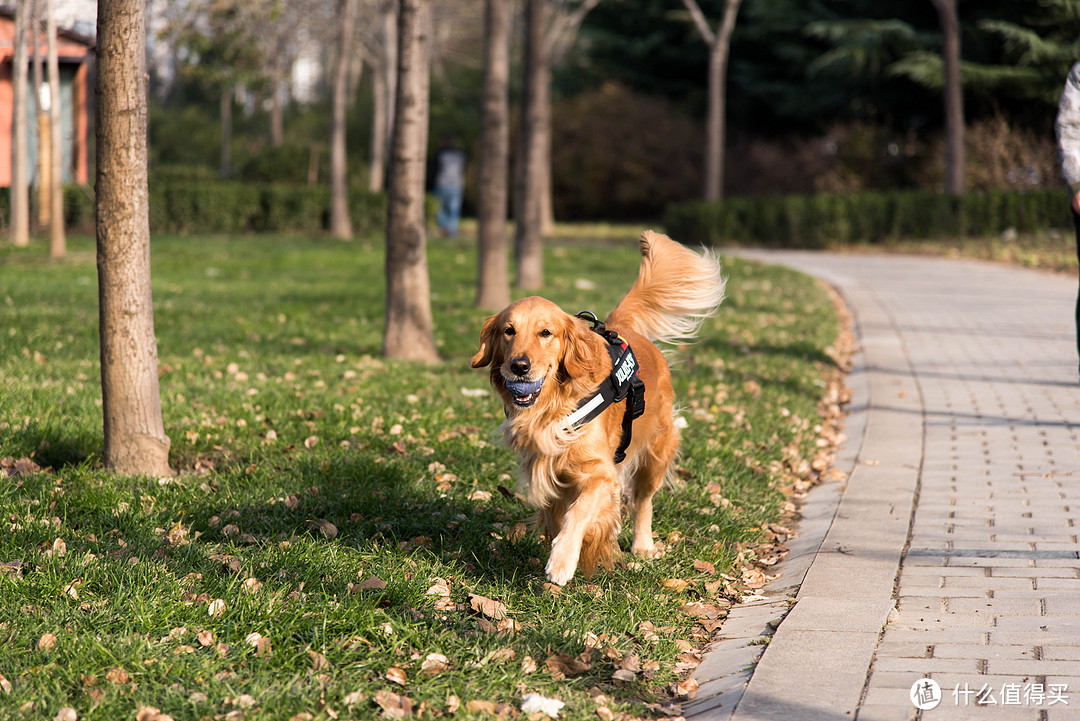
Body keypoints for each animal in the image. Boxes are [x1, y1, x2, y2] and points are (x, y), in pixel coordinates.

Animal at [473, 232, 725, 587]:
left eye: (545, 333)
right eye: (509, 331)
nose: (519, 366)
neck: (553, 406)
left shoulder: (601, 472)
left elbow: (580, 512)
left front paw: (564, 560)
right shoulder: (548, 472)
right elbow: (559, 515)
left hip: (656, 450)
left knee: (642, 501)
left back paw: (642, 546)